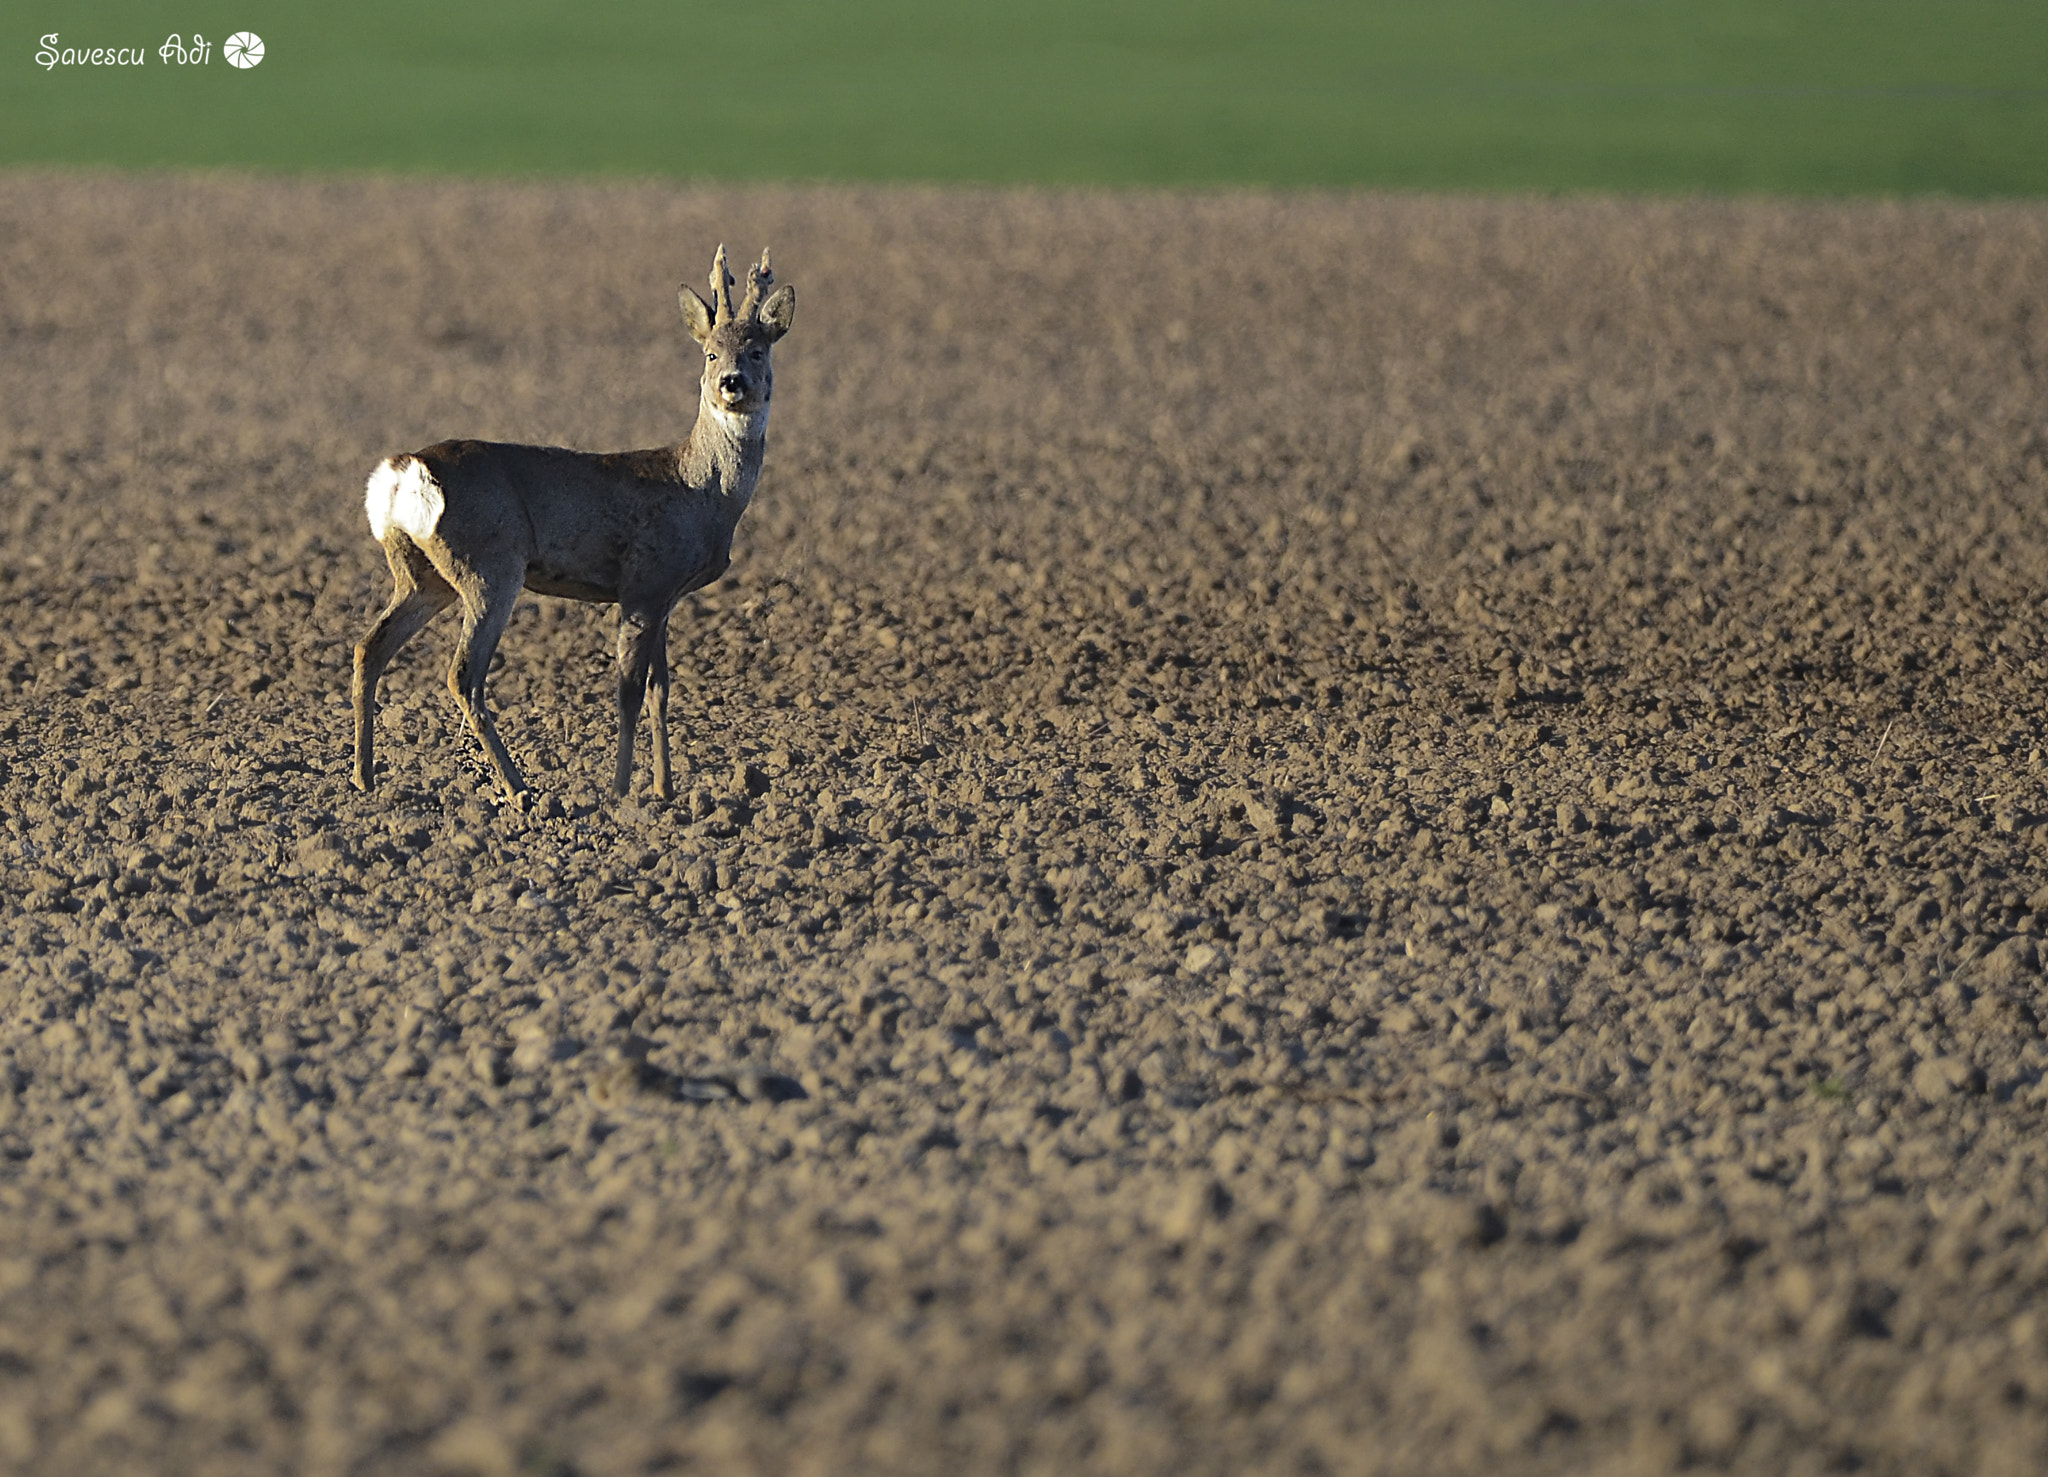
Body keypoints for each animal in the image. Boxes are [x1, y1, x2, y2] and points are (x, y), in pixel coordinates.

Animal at [348, 240, 794, 798]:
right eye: (710, 353)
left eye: (757, 351)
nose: (732, 383)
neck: (701, 490)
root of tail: (406, 469)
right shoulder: (643, 583)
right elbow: (628, 692)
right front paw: (621, 791)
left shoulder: (665, 595)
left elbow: (661, 690)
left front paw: (665, 791)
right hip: (490, 566)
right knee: (462, 675)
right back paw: (522, 793)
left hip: (422, 575)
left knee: (370, 648)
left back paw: (364, 778)